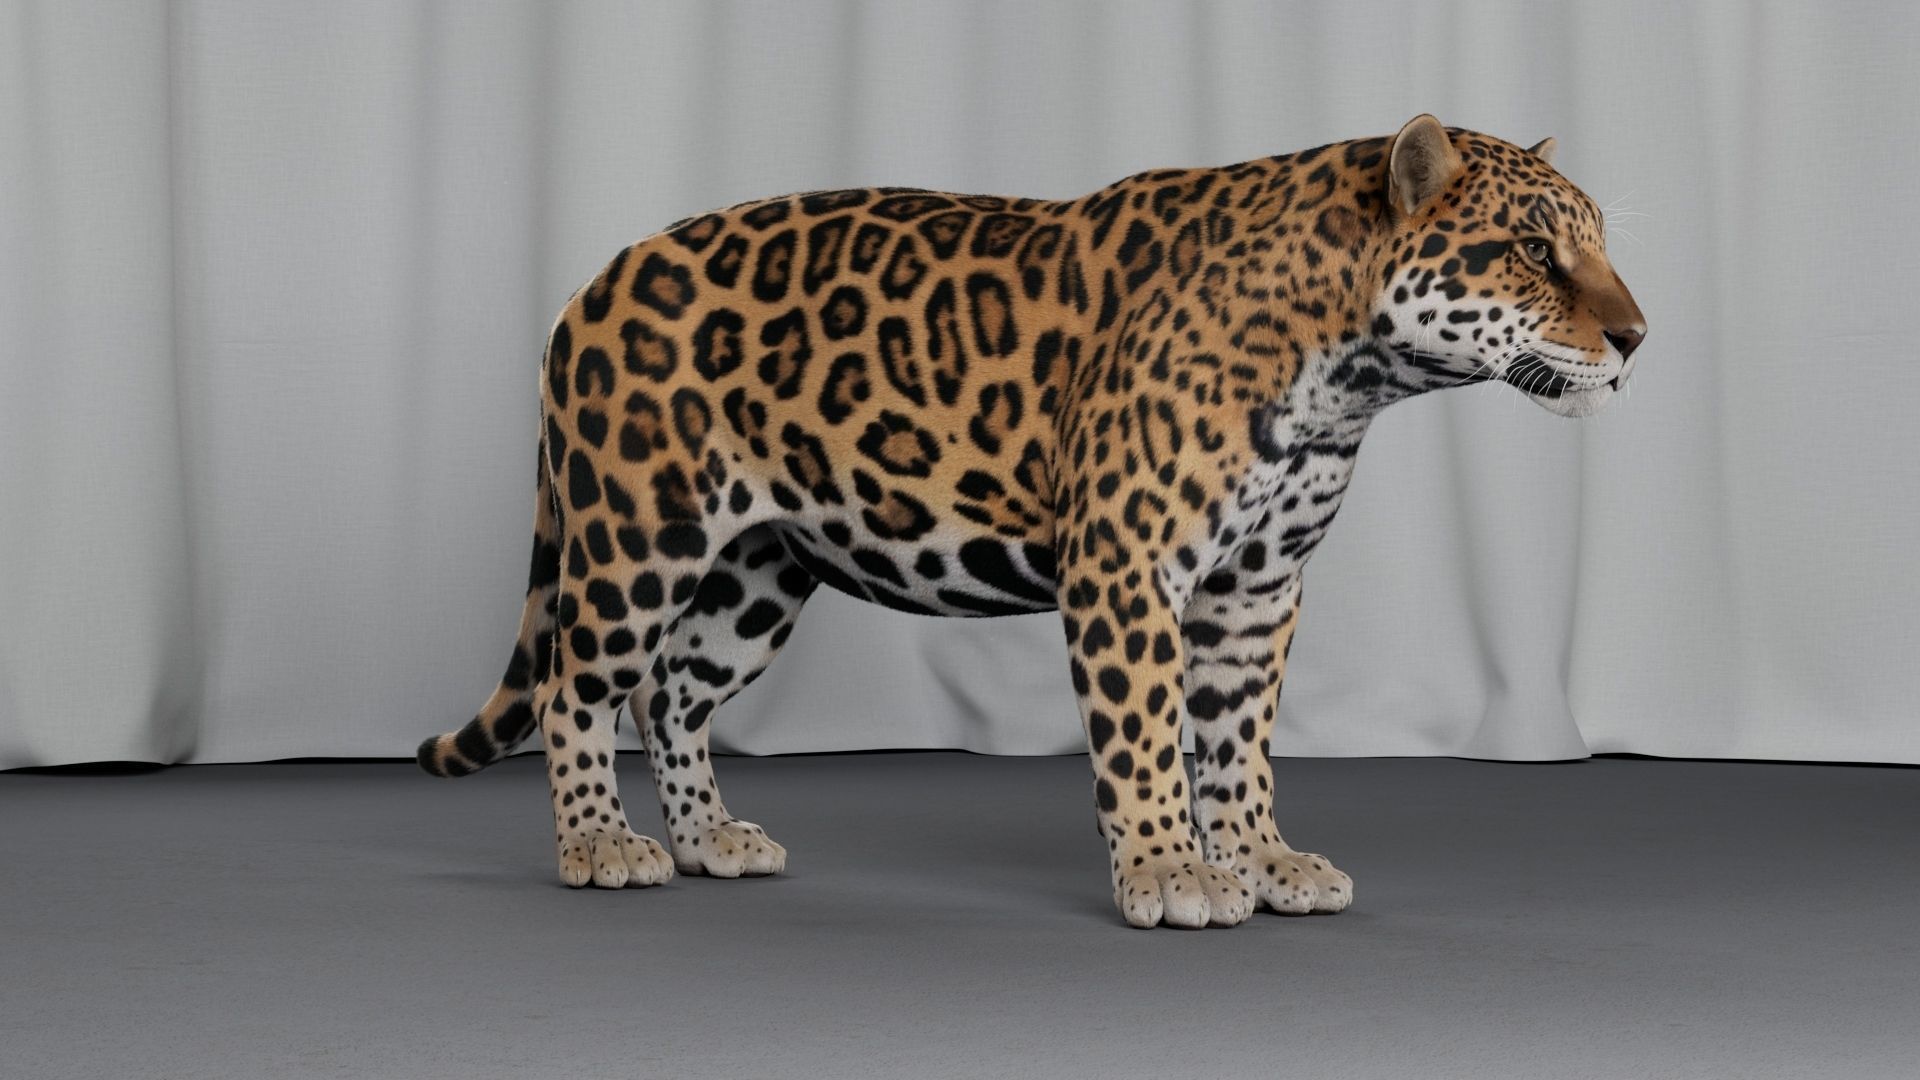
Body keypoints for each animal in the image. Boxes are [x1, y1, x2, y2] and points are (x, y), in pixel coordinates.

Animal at [418, 114, 1646, 929]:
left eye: (1593, 242)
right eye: (1536, 251)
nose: (1638, 336)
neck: (1350, 372)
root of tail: (588, 286)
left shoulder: (1256, 590)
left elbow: (1238, 743)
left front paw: (1264, 861)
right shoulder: (1129, 561)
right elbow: (1146, 734)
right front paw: (1170, 873)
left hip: (759, 571)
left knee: (670, 693)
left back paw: (711, 838)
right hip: (639, 535)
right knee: (579, 686)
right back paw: (600, 844)